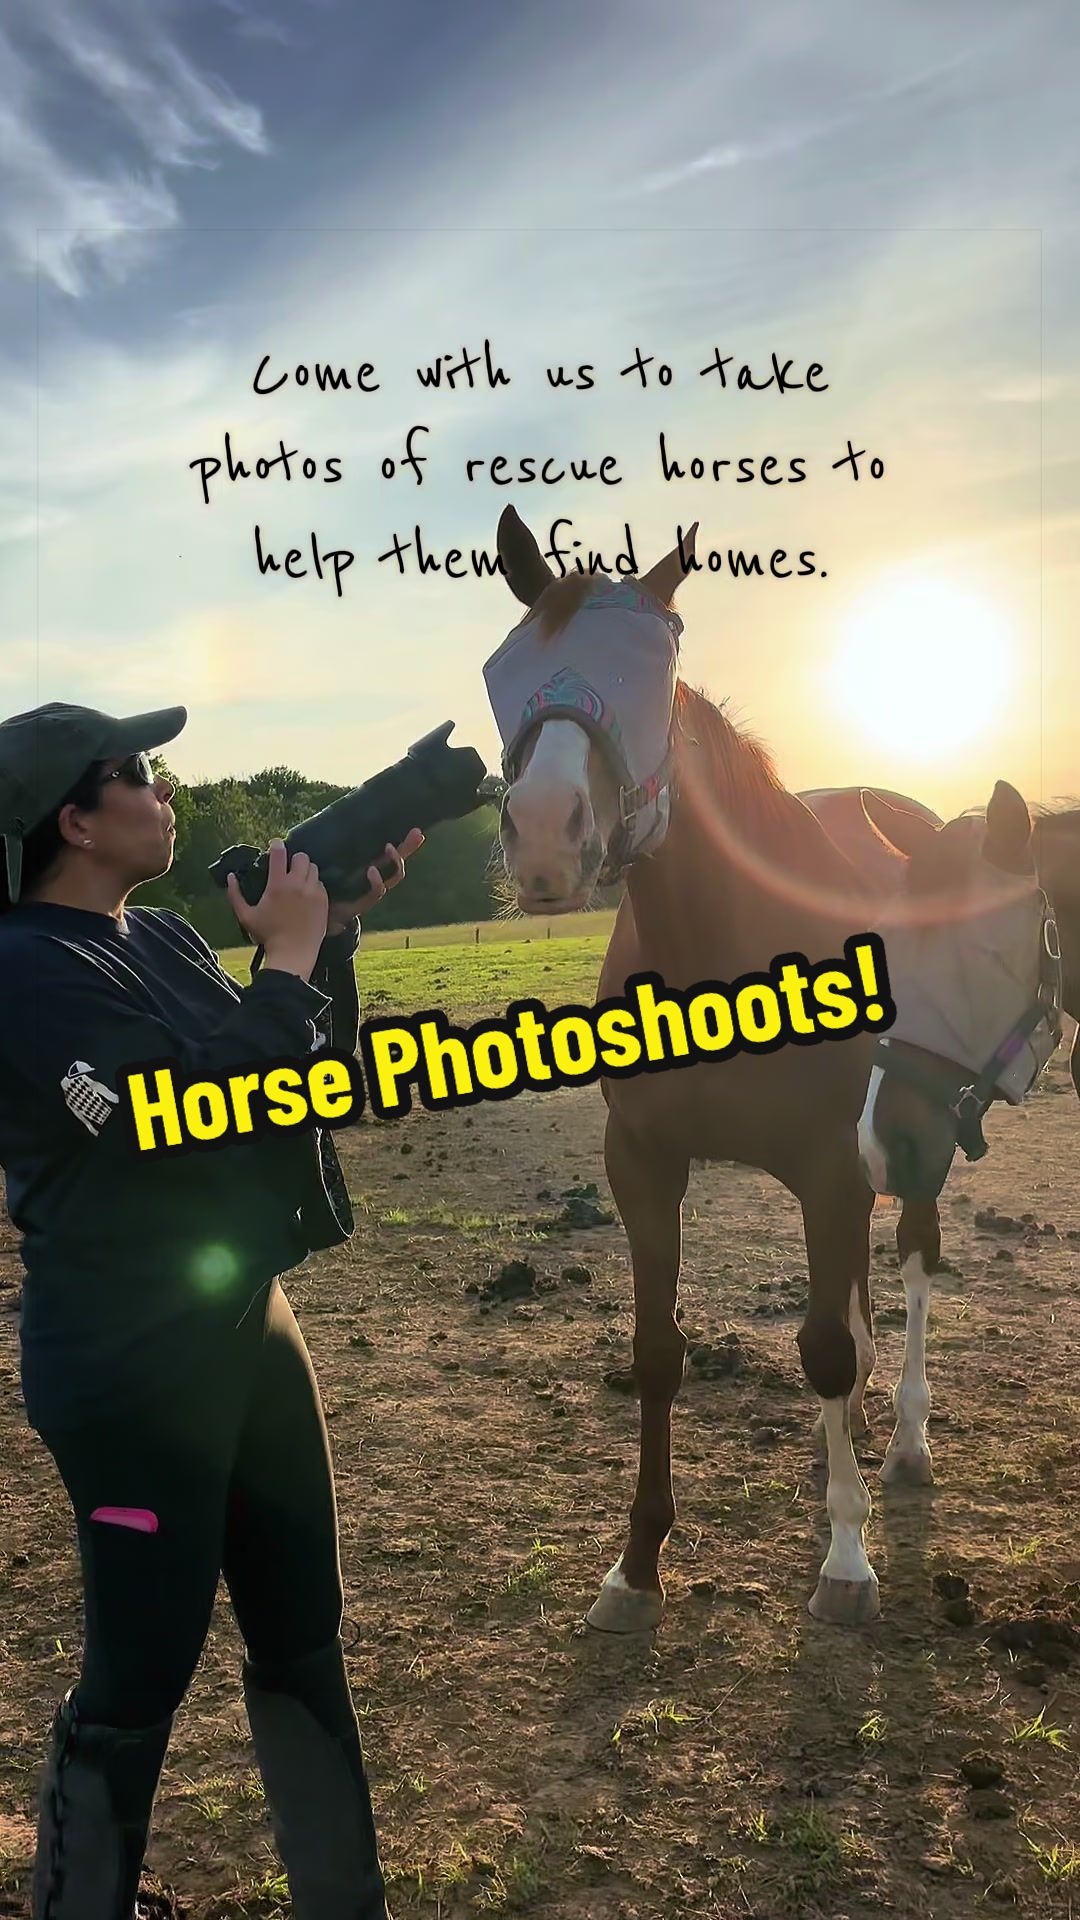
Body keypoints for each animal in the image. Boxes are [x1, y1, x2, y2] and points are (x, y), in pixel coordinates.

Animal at [482, 504, 1062, 1630]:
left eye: (653, 667)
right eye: (508, 662)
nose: (543, 838)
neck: (722, 948)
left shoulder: (832, 1166)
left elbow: (827, 1346)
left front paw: (846, 1561)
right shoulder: (643, 1164)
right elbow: (659, 1352)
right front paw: (636, 1566)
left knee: (910, 1265)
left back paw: (904, 1441)